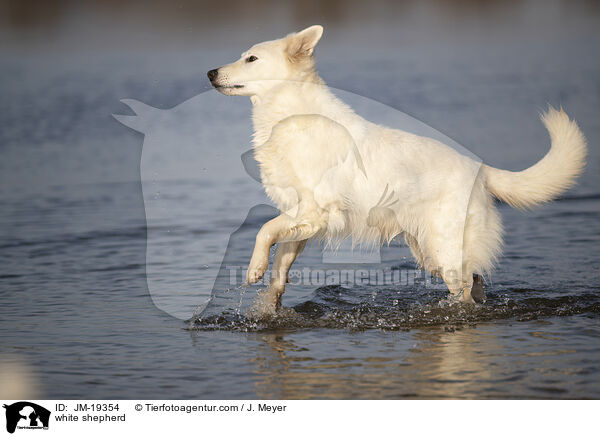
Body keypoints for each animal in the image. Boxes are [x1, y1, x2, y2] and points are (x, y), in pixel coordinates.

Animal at [209, 25, 588, 312]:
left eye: (251, 58)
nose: (210, 72)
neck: (288, 115)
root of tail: (481, 169)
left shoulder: (317, 211)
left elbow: (263, 231)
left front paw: (253, 270)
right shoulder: (300, 217)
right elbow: (280, 261)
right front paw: (269, 302)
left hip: (445, 250)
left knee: (465, 290)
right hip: (430, 253)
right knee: (476, 280)